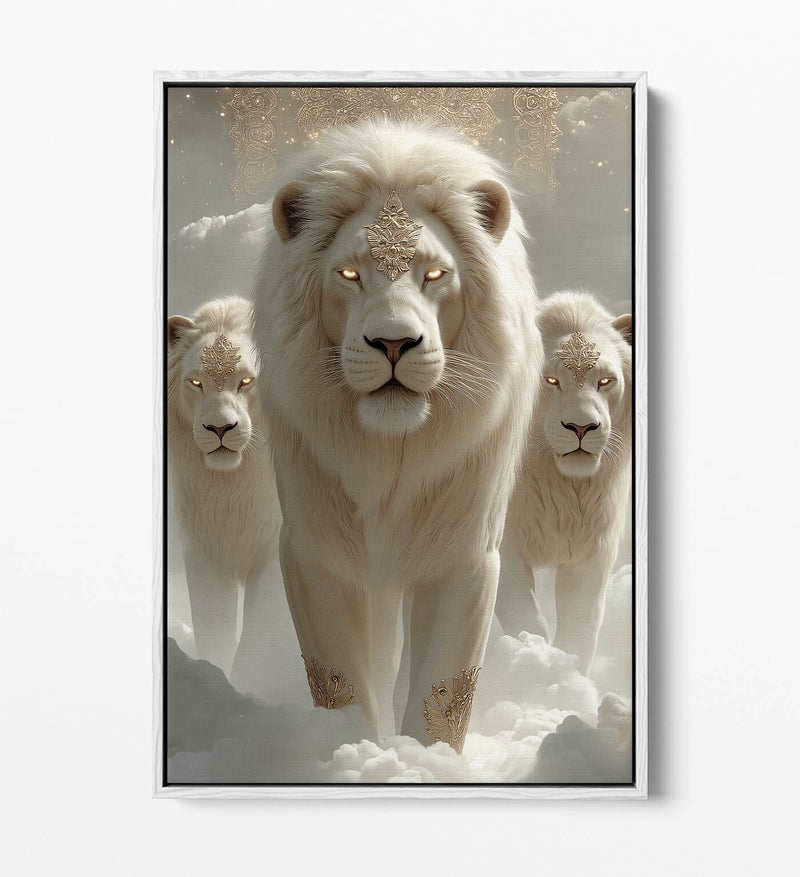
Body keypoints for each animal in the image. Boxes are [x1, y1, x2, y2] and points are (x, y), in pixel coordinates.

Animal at [167, 295, 281, 683]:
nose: (219, 428)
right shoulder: (206, 551)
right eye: (195, 382)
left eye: (246, 380)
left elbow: (258, 635)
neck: (233, 487)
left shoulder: (276, 551)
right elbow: (214, 631)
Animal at [253, 120, 542, 751]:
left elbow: (442, 689)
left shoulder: (465, 554)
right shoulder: (313, 548)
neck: (389, 455)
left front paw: (424, 761)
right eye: (349, 274)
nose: (392, 342)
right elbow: (339, 679)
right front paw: (349, 751)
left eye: (434, 274)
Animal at [495, 292, 633, 675]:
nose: (582, 427)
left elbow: (580, 630)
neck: (563, 487)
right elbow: (524, 615)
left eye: (605, 381)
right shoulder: (501, 547)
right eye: (551, 380)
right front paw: (535, 659)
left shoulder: (592, 553)